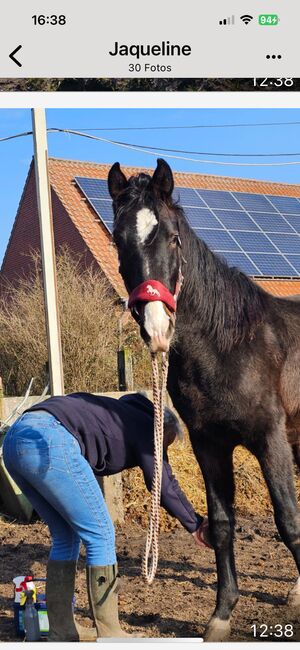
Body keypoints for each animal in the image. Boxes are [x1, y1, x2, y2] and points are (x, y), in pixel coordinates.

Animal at [108, 158, 300, 636]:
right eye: (118, 239)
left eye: (173, 237)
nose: (157, 328)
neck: (231, 344)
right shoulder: (208, 445)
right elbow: (223, 523)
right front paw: (221, 614)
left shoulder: (271, 440)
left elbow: (288, 521)